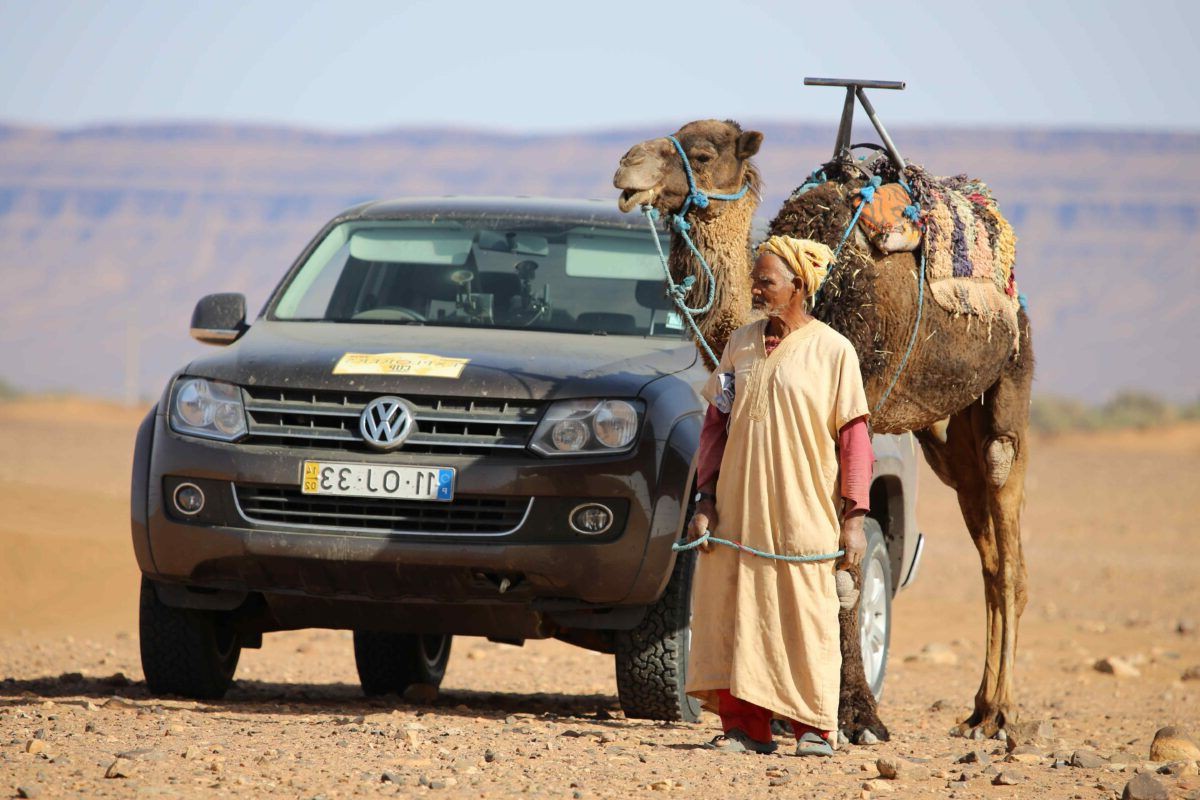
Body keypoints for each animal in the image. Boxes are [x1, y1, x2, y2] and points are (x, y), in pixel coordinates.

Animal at [614, 120, 1036, 743]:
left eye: (703, 152)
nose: (627, 166)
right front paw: (798, 712)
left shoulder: (854, 407)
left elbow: (847, 568)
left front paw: (858, 715)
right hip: (943, 432)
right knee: (981, 536)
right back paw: (978, 709)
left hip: (1010, 373)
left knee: (1005, 524)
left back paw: (1003, 715)